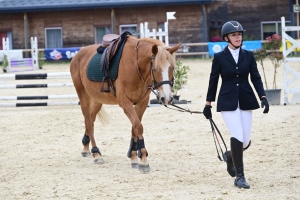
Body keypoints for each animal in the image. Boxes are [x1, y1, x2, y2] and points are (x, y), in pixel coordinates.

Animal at [69, 34, 180, 172]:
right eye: (155, 69)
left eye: (172, 68)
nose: (167, 98)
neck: (136, 65)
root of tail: (79, 53)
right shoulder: (125, 102)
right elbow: (138, 126)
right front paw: (143, 160)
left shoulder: (142, 103)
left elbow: (134, 128)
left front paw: (133, 156)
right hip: (83, 95)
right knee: (88, 122)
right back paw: (96, 153)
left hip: (97, 100)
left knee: (91, 120)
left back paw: (85, 146)